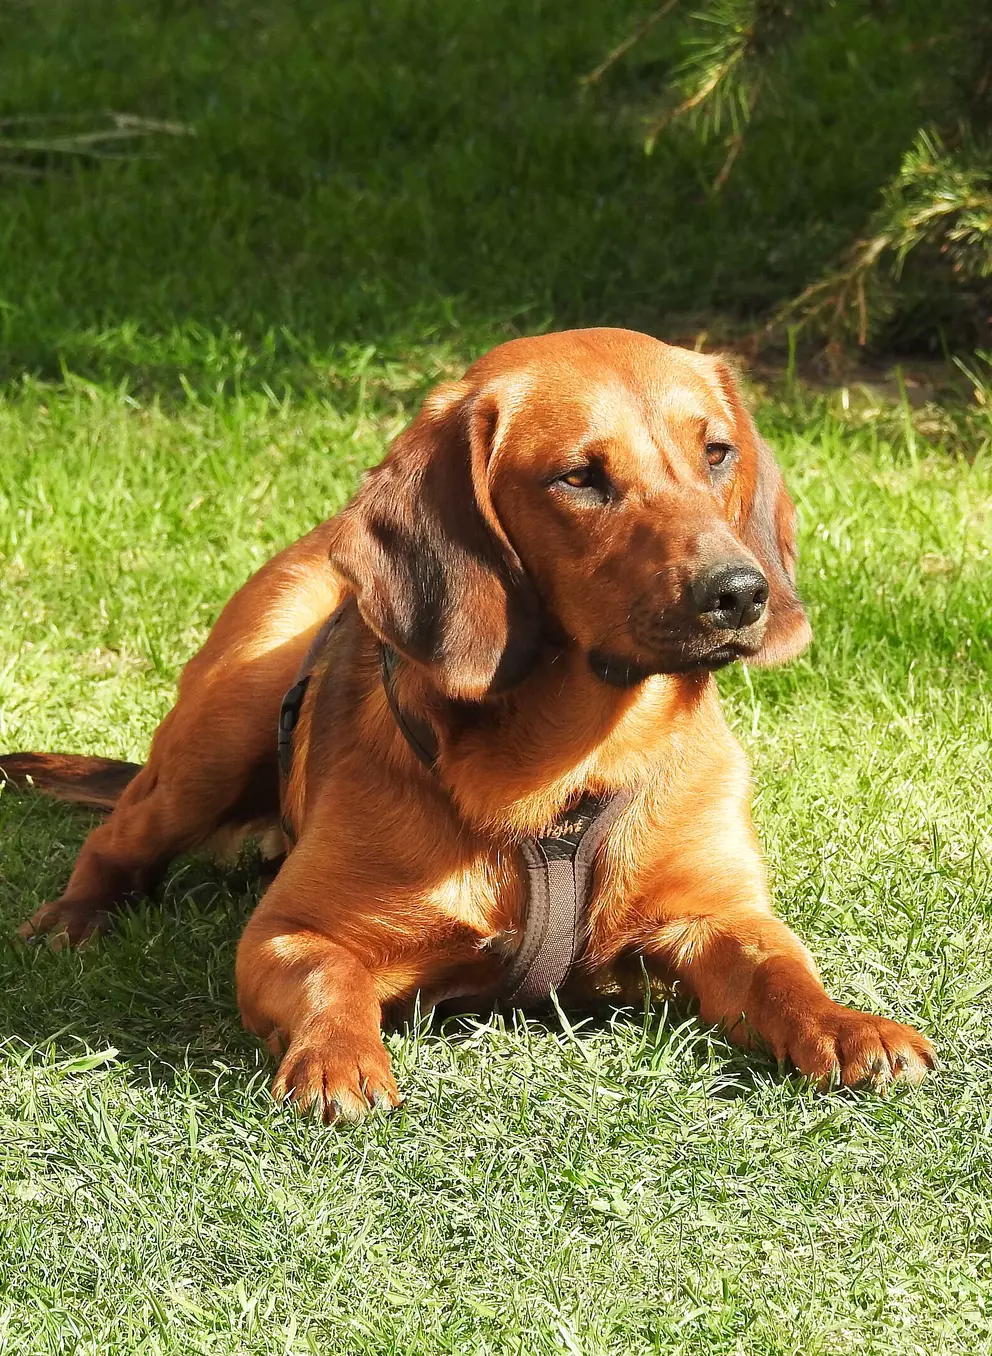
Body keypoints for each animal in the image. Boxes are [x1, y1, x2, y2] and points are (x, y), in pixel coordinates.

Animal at [0, 330, 932, 1122]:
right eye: (579, 478)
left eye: (717, 452)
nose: (740, 593)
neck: (569, 766)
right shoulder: (287, 934)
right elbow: (331, 984)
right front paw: (339, 1060)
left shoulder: (717, 916)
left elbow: (783, 970)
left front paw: (847, 1024)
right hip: (214, 736)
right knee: (115, 843)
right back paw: (72, 919)